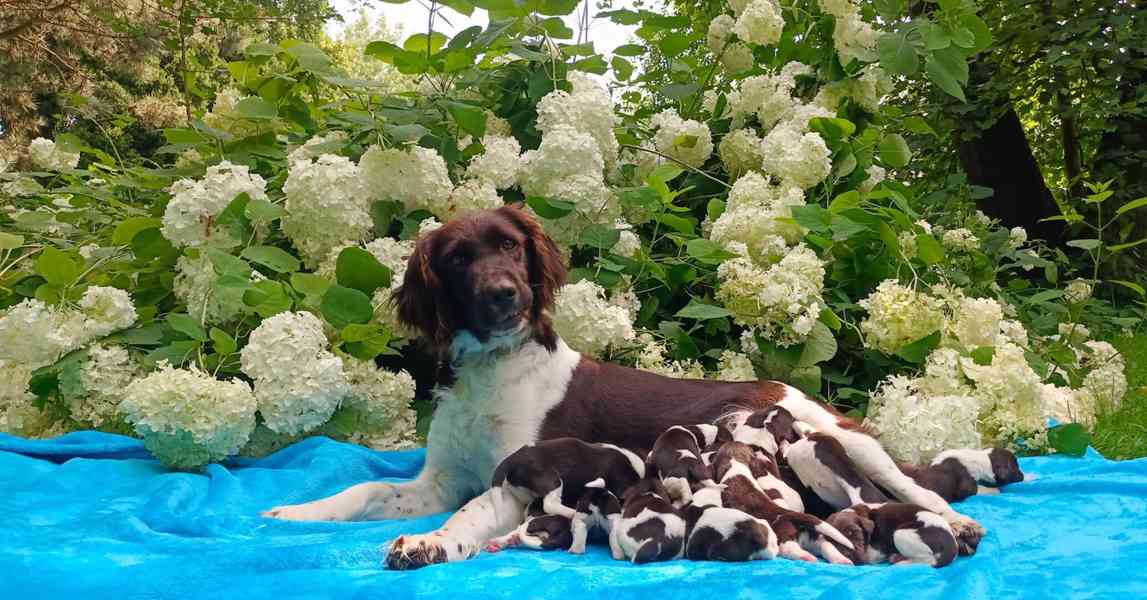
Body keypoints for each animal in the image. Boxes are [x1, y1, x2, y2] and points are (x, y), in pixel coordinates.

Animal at [711, 440, 857, 564]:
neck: (735, 465)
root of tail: (790, 514)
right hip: (814, 538)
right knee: (826, 544)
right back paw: (841, 560)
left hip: (784, 536)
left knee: (790, 548)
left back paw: (806, 557)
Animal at [825, 502, 958, 569]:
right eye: (832, 540)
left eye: (855, 533)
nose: (847, 555)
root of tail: (952, 546)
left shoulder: (876, 551)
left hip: (900, 533)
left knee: (929, 561)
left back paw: (900, 562)